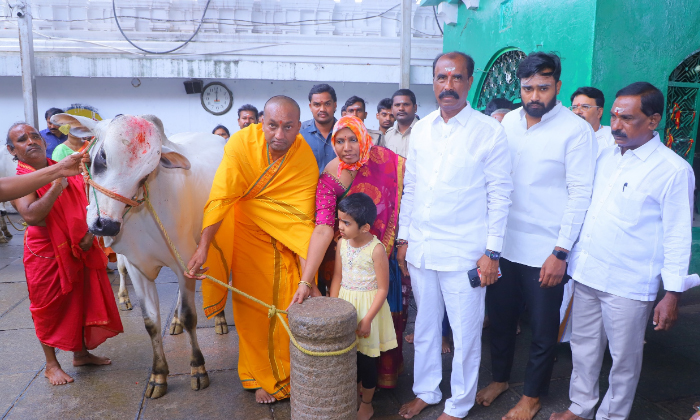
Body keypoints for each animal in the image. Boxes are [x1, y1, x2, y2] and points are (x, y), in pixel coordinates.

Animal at [55, 113, 227, 398]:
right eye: (101, 157)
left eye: (146, 174)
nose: (105, 226)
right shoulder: (138, 268)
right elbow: (151, 322)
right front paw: (158, 375)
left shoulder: (185, 261)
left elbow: (191, 316)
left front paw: (198, 368)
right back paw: (175, 321)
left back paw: (219, 318)